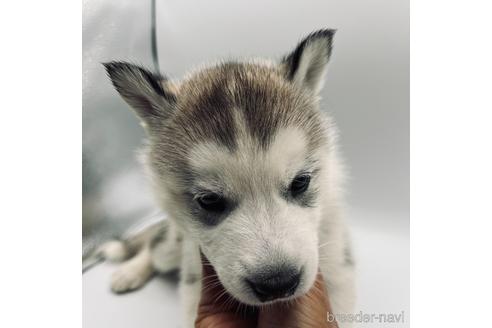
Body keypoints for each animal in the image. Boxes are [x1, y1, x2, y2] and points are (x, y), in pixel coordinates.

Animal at [103, 30, 354, 326]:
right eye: (209, 200)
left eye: (300, 182)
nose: (277, 283)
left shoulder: (337, 264)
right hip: (174, 245)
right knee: (154, 247)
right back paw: (130, 270)